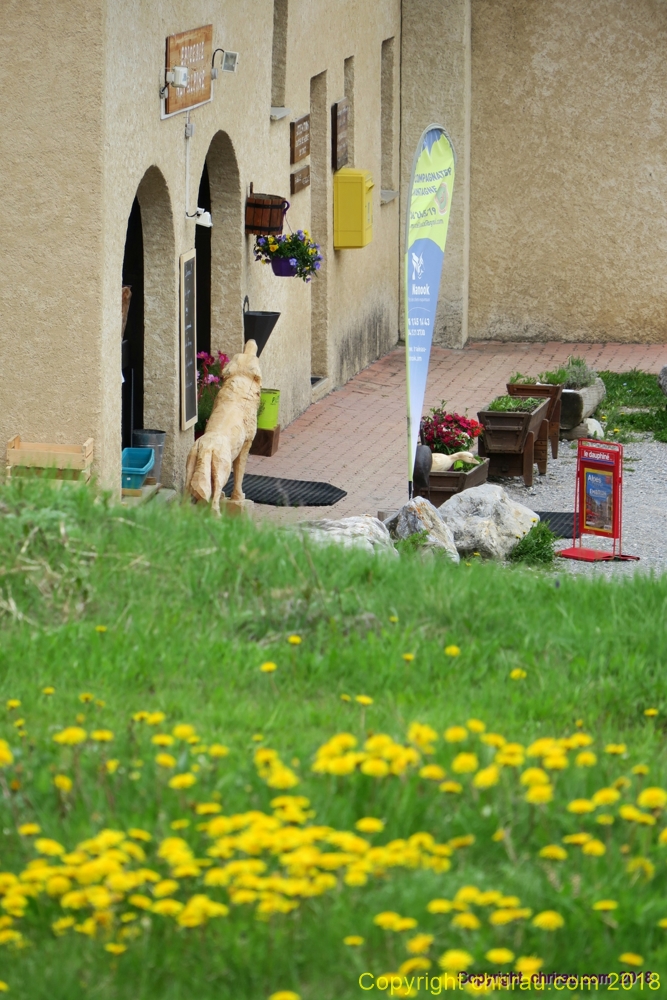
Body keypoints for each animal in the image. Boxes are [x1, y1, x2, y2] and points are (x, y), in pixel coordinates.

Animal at [188, 342, 264, 516]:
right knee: (214, 499)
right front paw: (238, 499)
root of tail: (206, 447)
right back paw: (216, 517)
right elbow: (239, 475)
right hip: (223, 468)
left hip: (191, 467)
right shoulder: (246, 446)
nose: (251, 342)